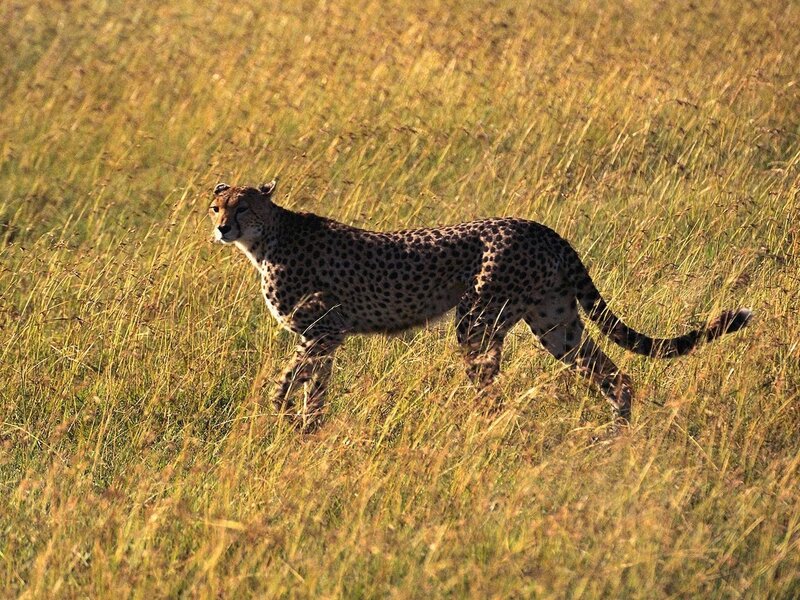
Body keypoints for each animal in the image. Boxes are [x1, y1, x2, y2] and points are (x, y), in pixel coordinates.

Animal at [208, 180, 752, 431]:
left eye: (244, 207)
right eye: (216, 206)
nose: (221, 228)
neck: (267, 239)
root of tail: (541, 227)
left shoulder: (326, 327)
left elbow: (291, 375)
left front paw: (282, 414)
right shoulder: (324, 336)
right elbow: (313, 386)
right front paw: (307, 429)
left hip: (479, 320)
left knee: (491, 389)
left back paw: (476, 432)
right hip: (555, 323)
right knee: (615, 375)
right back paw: (615, 435)